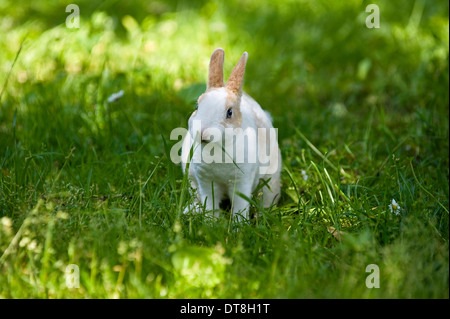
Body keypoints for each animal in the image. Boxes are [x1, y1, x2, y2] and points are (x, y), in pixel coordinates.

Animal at [180, 48, 280, 222]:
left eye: (229, 112)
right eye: (197, 106)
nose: (203, 132)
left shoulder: (241, 182)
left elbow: (240, 205)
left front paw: (239, 225)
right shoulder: (206, 182)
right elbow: (210, 203)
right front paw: (210, 222)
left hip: (270, 180)